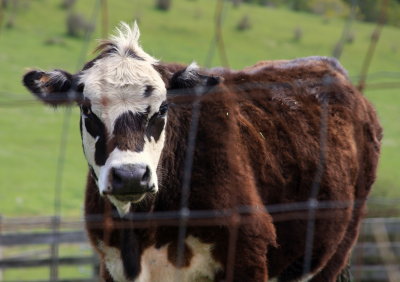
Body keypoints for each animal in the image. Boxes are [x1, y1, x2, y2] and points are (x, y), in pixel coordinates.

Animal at [21, 22, 382, 282]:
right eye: (87, 110)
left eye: (163, 108)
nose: (130, 176)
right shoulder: (112, 265)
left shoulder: (248, 253)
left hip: (334, 251)